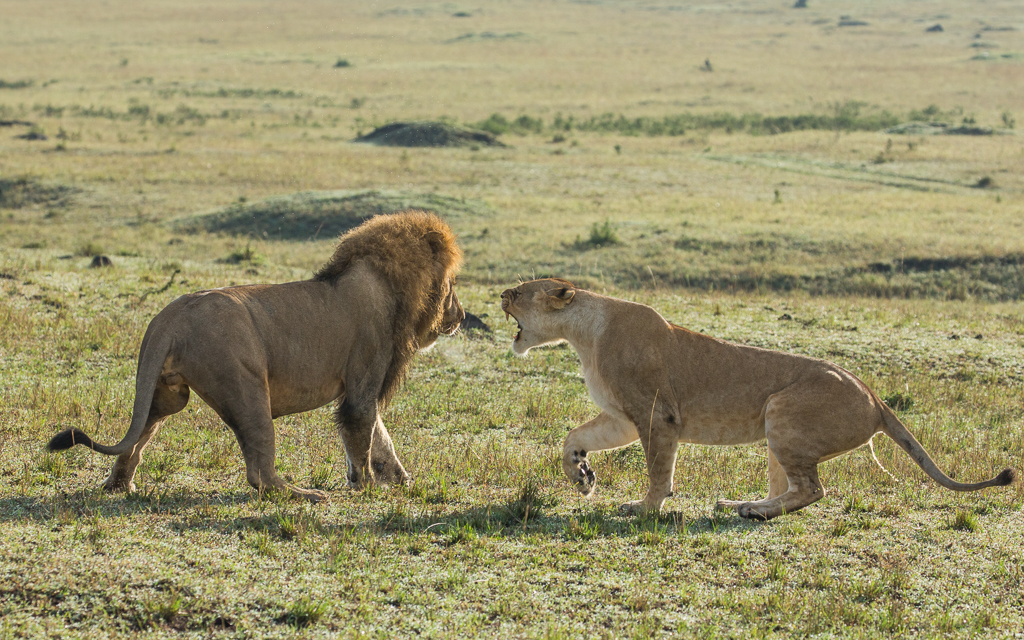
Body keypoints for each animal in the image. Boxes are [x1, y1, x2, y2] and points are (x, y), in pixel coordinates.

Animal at [48, 209, 464, 499]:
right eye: (452, 286)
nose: (460, 315)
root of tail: (169, 317)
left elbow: (381, 437)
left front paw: (400, 479)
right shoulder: (363, 381)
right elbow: (363, 433)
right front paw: (366, 487)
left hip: (164, 395)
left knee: (135, 440)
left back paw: (119, 485)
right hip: (246, 387)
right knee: (259, 472)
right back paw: (304, 495)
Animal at [499, 278, 1011, 520]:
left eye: (521, 292)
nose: (500, 292)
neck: (582, 334)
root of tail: (875, 396)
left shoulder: (657, 416)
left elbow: (658, 470)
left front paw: (645, 507)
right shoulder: (622, 417)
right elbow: (573, 438)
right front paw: (582, 475)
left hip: (781, 411)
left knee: (813, 489)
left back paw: (751, 511)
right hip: (775, 433)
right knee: (788, 486)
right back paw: (741, 505)